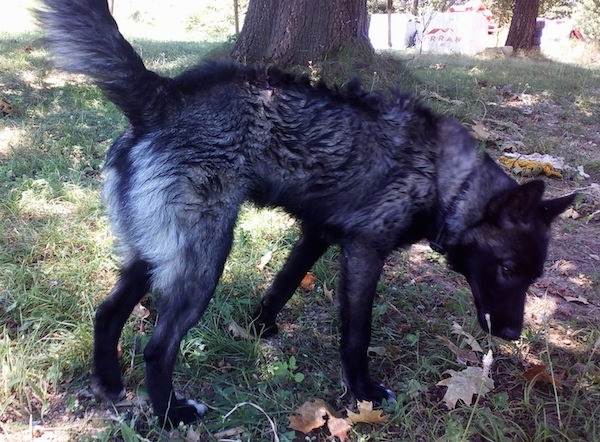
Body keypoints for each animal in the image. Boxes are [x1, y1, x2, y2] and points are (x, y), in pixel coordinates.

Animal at [38, 0, 576, 426]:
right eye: (506, 268)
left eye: (531, 276)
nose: (512, 335)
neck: (447, 179)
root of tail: (163, 96)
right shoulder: (363, 252)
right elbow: (356, 333)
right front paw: (362, 392)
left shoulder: (317, 235)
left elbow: (282, 284)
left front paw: (260, 329)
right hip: (203, 260)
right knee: (157, 346)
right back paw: (171, 414)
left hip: (154, 255)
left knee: (107, 312)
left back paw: (110, 384)